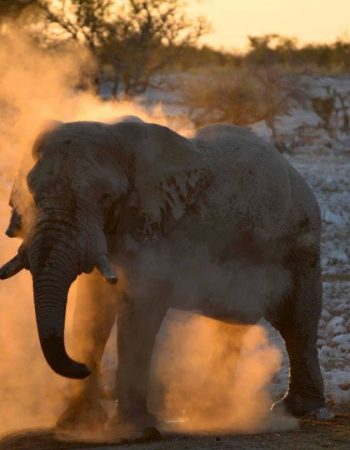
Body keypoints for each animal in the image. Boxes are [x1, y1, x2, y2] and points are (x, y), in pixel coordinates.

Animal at [0, 118, 334, 434]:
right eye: (31, 194)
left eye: (105, 197)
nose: (81, 365)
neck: (117, 137)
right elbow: (93, 305)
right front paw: (78, 425)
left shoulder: (161, 230)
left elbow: (141, 305)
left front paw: (136, 430)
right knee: (233, 326)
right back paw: (213, 411)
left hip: (299, 244)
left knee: (297, 324)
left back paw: (293, 410)